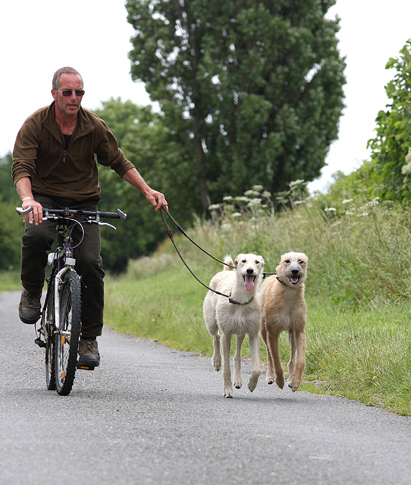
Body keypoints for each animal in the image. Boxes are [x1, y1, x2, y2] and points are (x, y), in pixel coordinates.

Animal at [204, 253, 266, 398]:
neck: (241, 300)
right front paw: (227, 390)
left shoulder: (253, 335)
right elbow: (226, 368)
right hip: (212, 323)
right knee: (216, 337)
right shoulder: (227, 335)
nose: (250, 270)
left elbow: (257, 368)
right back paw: (217, 361)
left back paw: (237, 381)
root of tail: (226, 271)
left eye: (257, 262)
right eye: (243, 261)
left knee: (237, 356)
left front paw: (252, 384)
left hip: (240, 333)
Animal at [260, 251, 308, 392]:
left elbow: (300, 360)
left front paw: (296, 382)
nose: (295, 271)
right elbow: (275, 358)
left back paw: (291, 379)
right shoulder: (272, 332)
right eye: (287, 261)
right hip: (263, 331)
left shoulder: (299, 329)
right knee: (269, 356)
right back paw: (270, 376)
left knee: (292, 359)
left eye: (301, 261)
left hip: (292, 334)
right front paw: (280, 379)